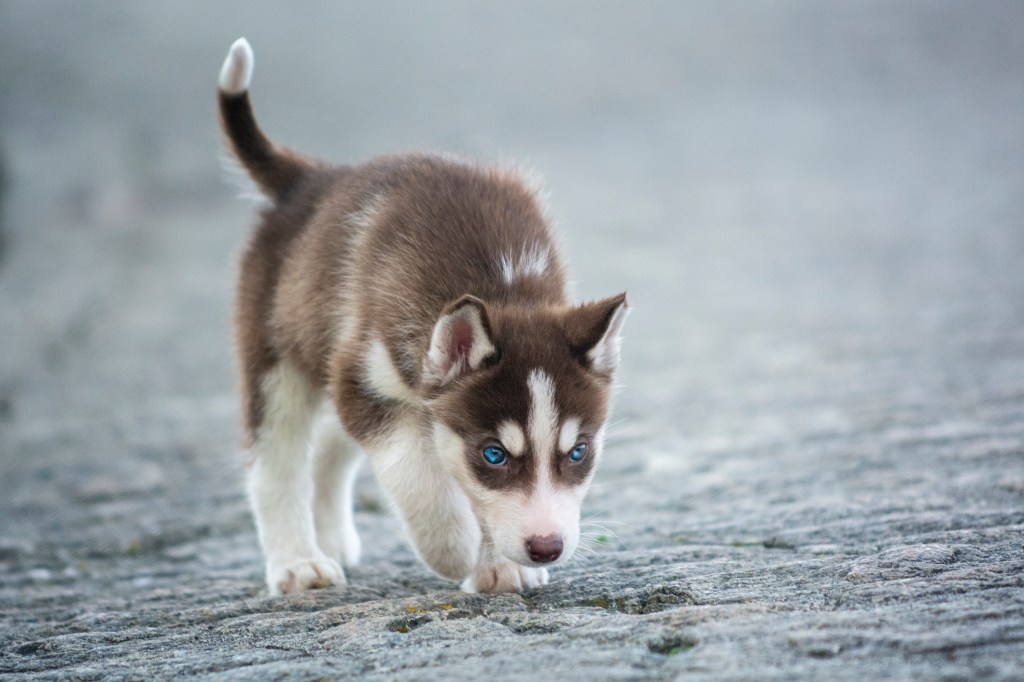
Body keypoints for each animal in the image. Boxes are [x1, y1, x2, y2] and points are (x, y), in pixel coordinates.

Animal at [220, 37, 626, 593]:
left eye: (579, 452)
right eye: (494, 454)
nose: (546, 548)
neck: (501, 285)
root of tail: (313, 178)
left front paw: (498, 567)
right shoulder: (361, 378)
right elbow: (418, 473)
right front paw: (456, 550)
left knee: (328, 446)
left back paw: (333, 540)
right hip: (277, 359)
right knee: (274, 463)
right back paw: (299, 563)